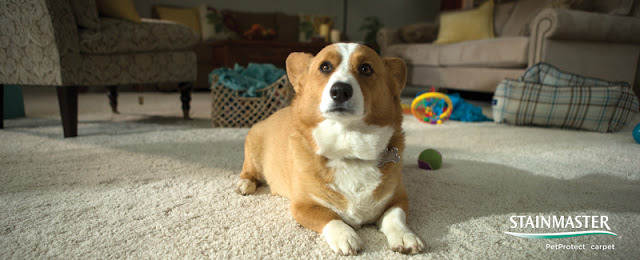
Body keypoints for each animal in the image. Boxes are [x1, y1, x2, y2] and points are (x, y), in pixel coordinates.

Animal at [238, 42, 422, 256]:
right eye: (325, 67)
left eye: (366, 68)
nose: (340, 90)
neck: (348, 147)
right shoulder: (303, 206)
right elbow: (329, 216)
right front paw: (346, 236)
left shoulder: (398, 199)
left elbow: (395, 216)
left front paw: (404, 236)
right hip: (253, 145)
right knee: (249, 170)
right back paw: (245, 183)